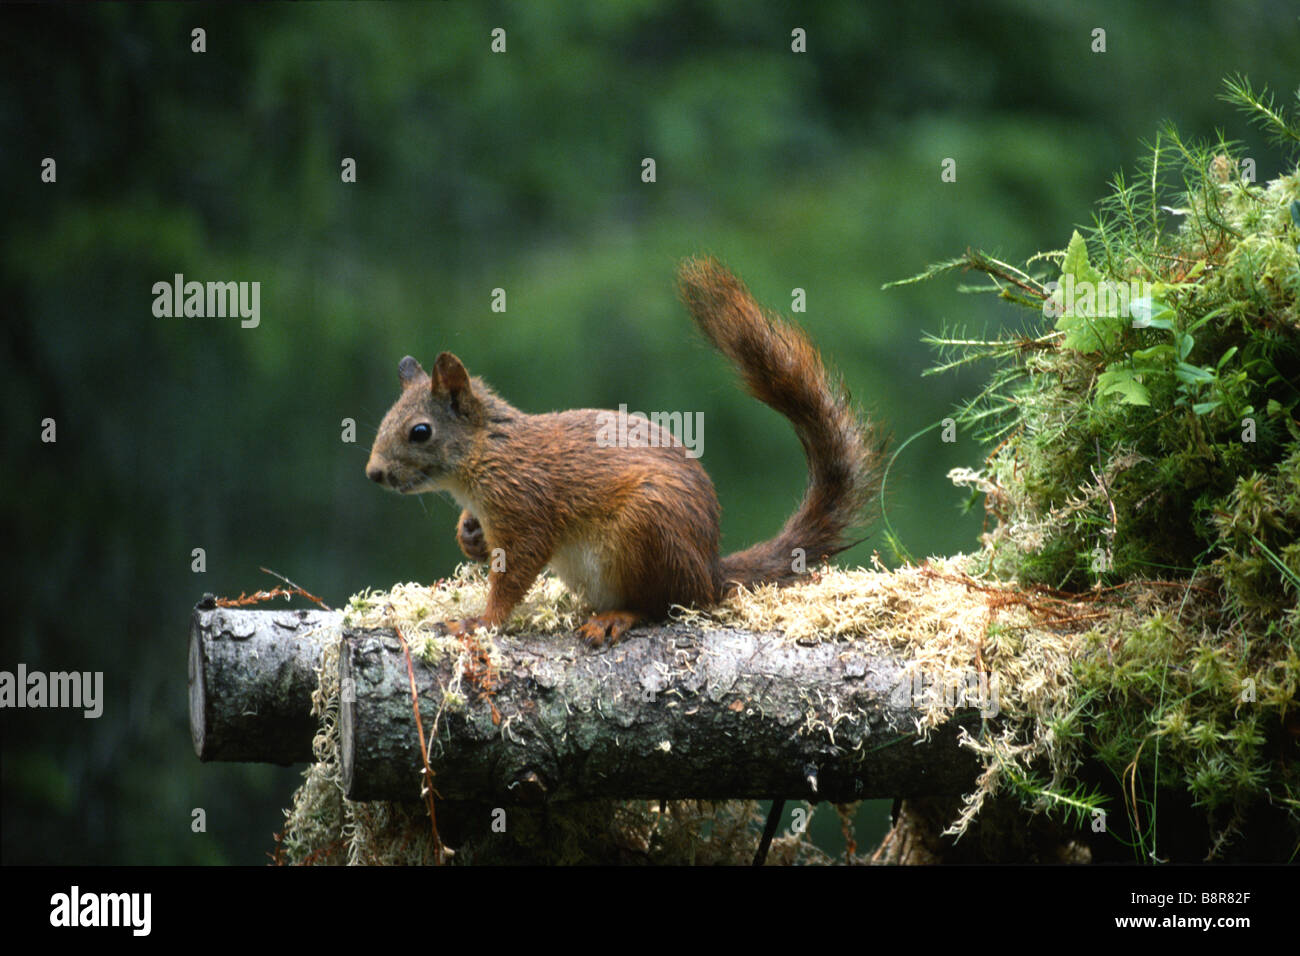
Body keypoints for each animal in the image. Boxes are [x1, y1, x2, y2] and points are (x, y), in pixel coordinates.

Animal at [364, 257, 883, 647]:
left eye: (420, 431)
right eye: (387, 417)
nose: (373, 473)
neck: (487, 455)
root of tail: (709, 571)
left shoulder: (526, 505)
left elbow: (515, 574)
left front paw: (480, 622)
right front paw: (468, 535)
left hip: (647, 528)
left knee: (666, 605)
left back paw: (618, 617)